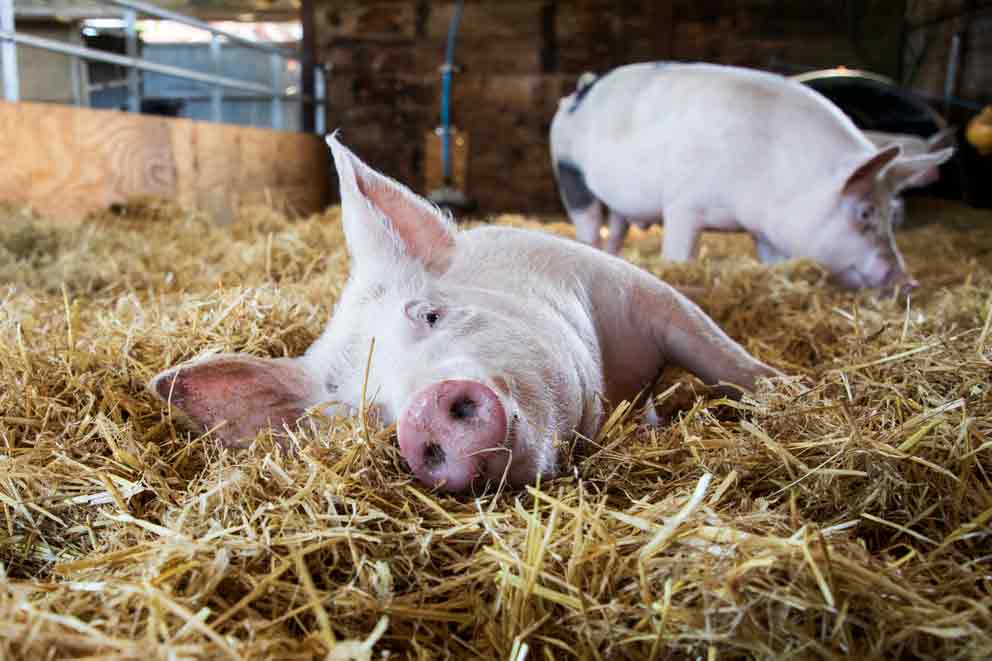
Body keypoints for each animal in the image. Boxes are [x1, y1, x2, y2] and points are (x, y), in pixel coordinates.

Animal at [149, 136, 779, 495]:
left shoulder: (635, 290)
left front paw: (786, 391)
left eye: (429, 315)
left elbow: (721, 357)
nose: (422, 415)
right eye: (366, 413)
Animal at [550, 63, 954, 291]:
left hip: (617, 200)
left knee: (616, 229)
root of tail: (582, 90)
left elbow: (771, 261)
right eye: (865, 212)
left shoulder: (766, 230)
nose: (909, 281)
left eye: (893, 215)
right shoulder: (683, 204)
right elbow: (679, 256)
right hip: (569, 172)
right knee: (588, 224)